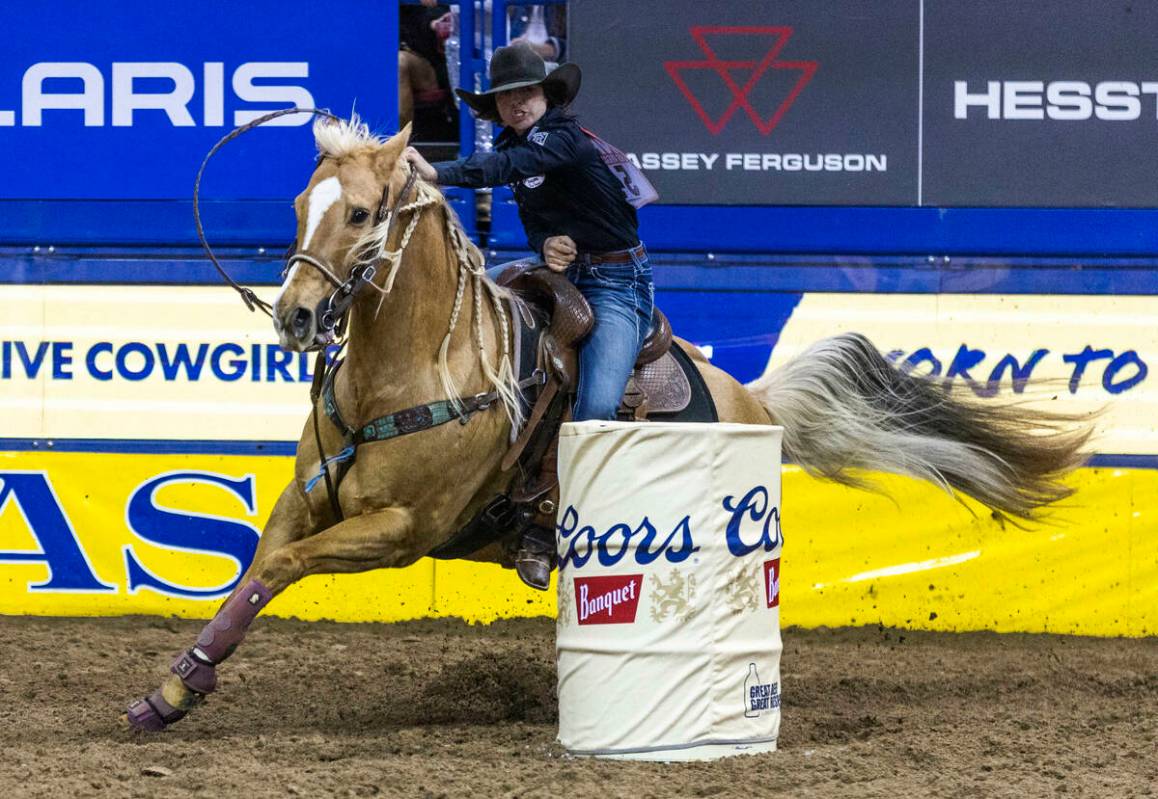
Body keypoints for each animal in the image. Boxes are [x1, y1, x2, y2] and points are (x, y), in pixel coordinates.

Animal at [124, 116, 1083, 727]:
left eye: (360, 213)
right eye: (300, 206)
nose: (293, 316)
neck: (408, 373)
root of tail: (752, 397)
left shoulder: (399, 529)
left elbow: (278, 568)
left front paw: (176, 688)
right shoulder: (309, 499)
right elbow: (256, 568)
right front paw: (171, 691)